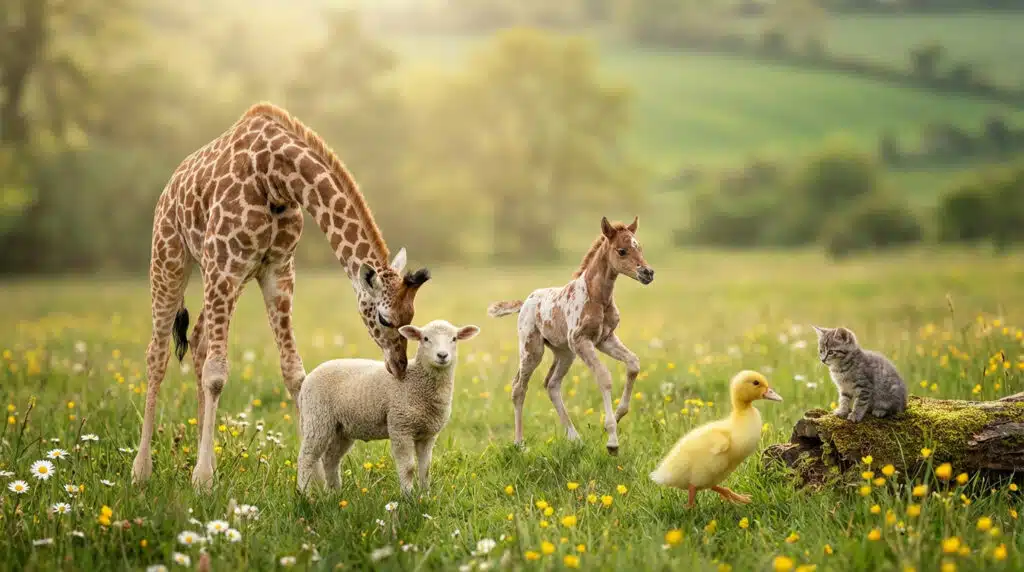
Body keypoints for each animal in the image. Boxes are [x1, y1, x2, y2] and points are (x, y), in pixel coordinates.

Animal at [296, 319, 480, 496]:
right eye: (425, 338)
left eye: (454, 339)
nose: (442, 355)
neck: (417, 380)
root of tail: (307, 381)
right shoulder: (400, 426)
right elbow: (408, 468)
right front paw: (408, 496)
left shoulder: (428, 434)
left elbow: (426, 469)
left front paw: (426, 495)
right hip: (317, 418)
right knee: (306, 457)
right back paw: (305, 494)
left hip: (341, 428)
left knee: (330, 459)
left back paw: (334, 493)